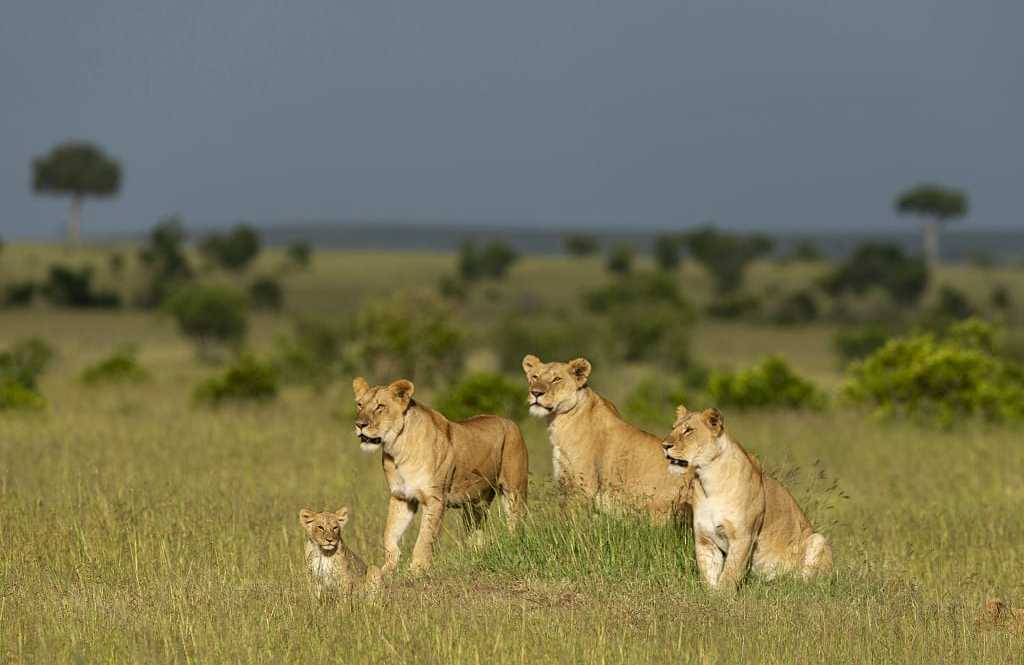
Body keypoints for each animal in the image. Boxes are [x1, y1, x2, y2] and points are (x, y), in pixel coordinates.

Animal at [352, 377, 529, 575]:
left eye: (380, 406)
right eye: (360, 405)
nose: (359, 424)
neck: (398, 448)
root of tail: (510, 422)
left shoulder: (435, 499)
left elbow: (424, 539)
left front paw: (416, 570)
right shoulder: (401, 497)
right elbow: (389, 533)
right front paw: (388, 568)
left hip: (514, 491)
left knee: (516, 523)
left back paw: (514, 545)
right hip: (475, 503)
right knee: (476, 531)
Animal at [522, 355, 690, 520]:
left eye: (556, 379)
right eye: (535, 377)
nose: (535, 393)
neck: (559, 421)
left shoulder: (584, 484)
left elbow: (573, 519)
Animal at [661, 405, 832, 592]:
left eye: (688, 431)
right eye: (673, 428)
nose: (664, 445)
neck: (708, 479)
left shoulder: (743, 536)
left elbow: (730, 572)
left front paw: (723, 595)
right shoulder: (705, 538)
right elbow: (707, 571)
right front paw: (709, 594)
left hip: (818, 539)